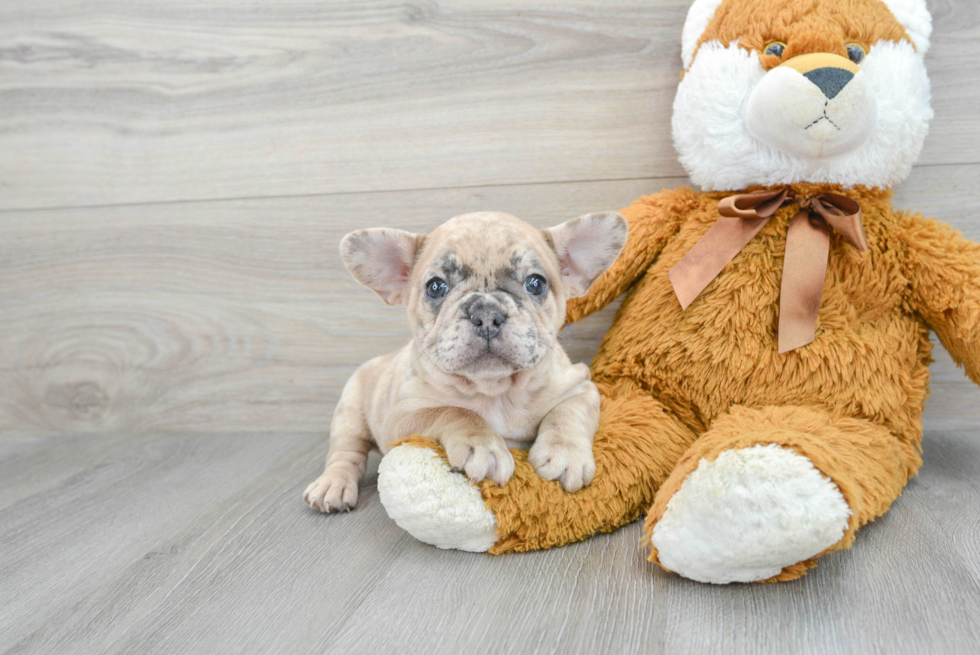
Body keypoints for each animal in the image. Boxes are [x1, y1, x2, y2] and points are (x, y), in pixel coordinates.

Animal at [306, 210, 628, 512]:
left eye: (536, 283)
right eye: (435, 287)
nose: (486, 313)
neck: (496, 390)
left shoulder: (581, 387)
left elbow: (566, 413)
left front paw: (565, 453)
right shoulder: (401, 418)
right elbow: (454, 412)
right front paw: (483, 446)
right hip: (350, 413)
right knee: (345, 453)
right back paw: (333, 486)